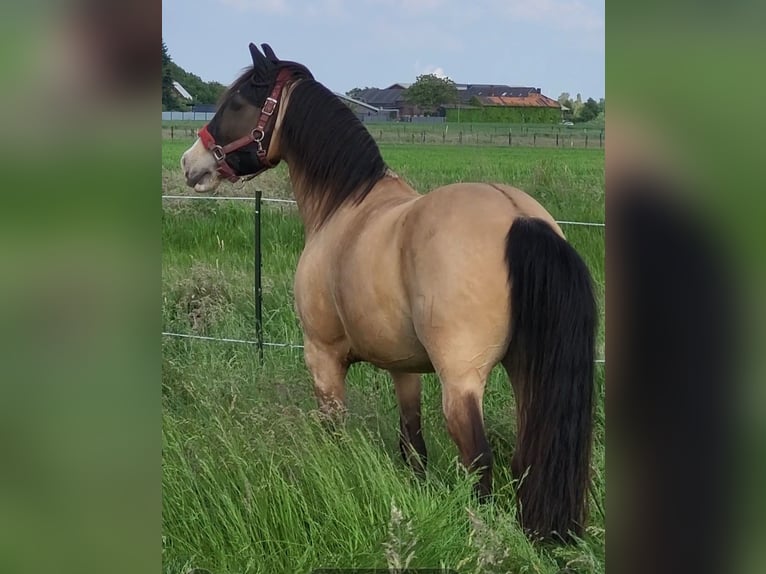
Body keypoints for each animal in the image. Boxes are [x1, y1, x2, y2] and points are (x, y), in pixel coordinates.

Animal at [182, 42, 600, 544]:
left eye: (238, 103)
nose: (189, 163)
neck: (344, 205)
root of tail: (519, 215)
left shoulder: (322, 358)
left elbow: (336, 436)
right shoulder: (405, 369)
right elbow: (413, 443)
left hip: (461, 383)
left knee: (479, 463)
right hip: (523, 375)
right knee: (523, 459)